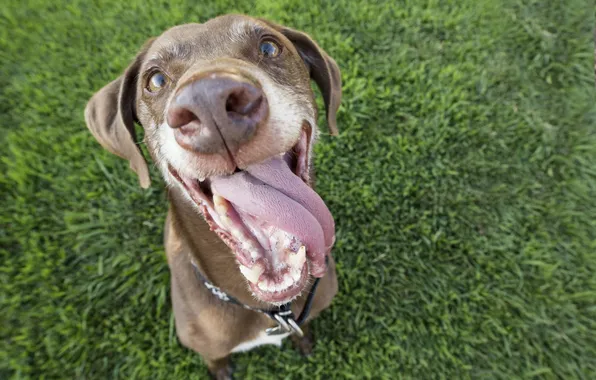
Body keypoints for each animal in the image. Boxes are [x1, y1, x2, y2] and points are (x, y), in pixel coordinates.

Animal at [86, 13, 342, 378]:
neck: (271, 309)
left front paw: (304, 341)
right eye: (156, 80)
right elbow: (216, 358)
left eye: (269, 47)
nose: (210, 103)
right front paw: (222, 371)